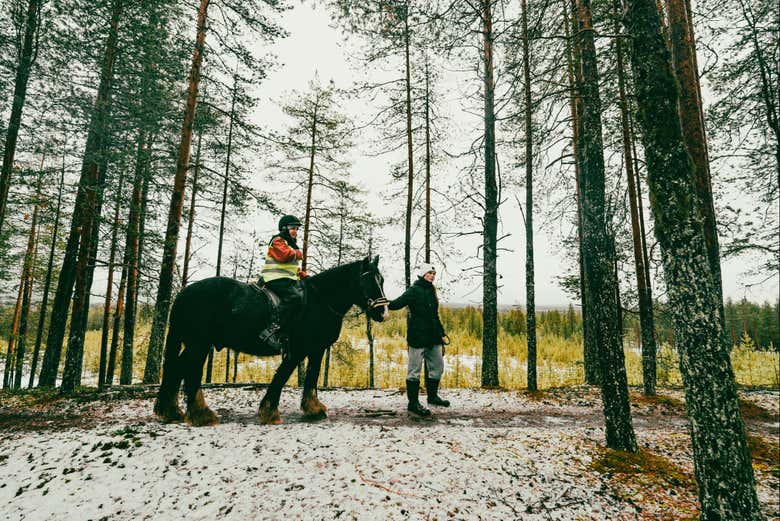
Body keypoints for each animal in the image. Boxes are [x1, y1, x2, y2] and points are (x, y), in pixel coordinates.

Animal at [153, 256, 389, 426]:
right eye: (367, 280)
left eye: (382, 280)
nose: (383, 312)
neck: (320, 300)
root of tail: (184, 293)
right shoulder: (298, 349)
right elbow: (282, 377)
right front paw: (269, 412)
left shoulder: (317, 349)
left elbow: (311, 378)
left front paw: (313, 409)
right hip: (199, 344)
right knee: (190, 372)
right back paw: (202, 415)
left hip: (194, 344)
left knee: (176, 368)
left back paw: (171, 411)